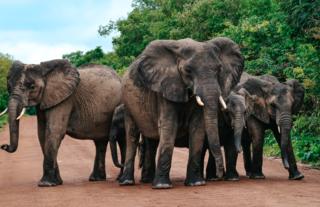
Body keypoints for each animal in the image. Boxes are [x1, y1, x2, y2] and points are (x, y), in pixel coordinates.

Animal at [0, 59, 122, 187]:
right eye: (9, 86)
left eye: (32, 87)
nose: (4, 146)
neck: (45, 72)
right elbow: (42, 134)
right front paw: (57, 182)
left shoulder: (64, 100)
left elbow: (54, 132)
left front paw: (46, 184)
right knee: (100, 142)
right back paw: (96, 179)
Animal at [119, 36, 242, 188]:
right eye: (188, 70)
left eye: (219, 69)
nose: (219, 175)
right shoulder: (166, 87)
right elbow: (169, 126)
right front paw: (162, 186)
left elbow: (198, 128)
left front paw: (196, 183)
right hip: (128, 103)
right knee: (132, 135)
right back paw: (127, 182)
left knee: (151, 141)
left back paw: (147, 180)